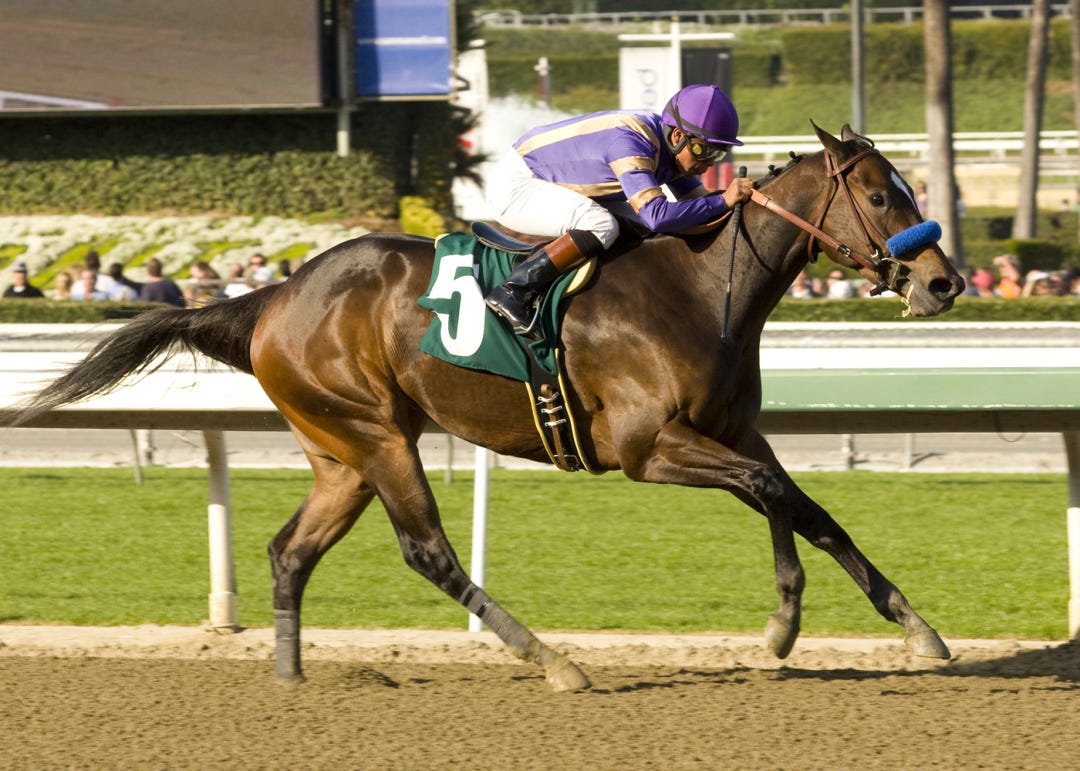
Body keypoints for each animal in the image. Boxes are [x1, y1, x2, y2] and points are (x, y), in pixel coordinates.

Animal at [6, 124, 965, 691]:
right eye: (880, 194)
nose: (944, 282)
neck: (700, 286)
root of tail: (271, 296)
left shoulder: (732, 431)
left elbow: (807, 510)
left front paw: (911, 629)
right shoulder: (647, 447)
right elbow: (775, 500)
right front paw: (784, 627)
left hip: (340, 454)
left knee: (290, 551)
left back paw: (291, 677)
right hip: (378, 435)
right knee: (427, 550)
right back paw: (555, 661)